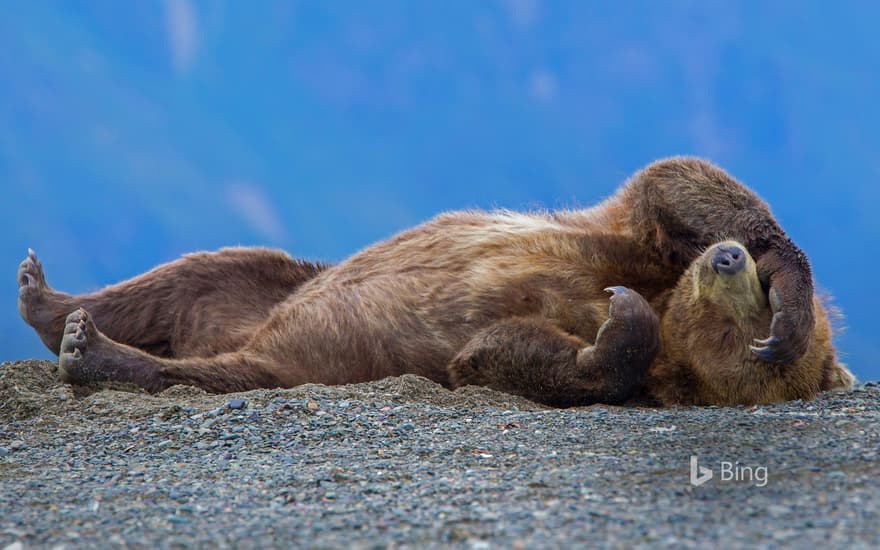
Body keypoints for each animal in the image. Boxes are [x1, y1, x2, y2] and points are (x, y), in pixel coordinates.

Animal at [15, 157, 852, 408]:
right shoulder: (629, 239)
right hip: (278, 283)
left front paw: (621, 331)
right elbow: (679, 184)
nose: (728, 264)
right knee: (204, 268)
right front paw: (790, 291)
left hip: (297, 357)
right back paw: (49, 297)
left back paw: (92, 349)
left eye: (734, 332)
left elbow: (497, 354)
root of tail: (255, 329)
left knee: (223, 371)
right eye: (748, 312)